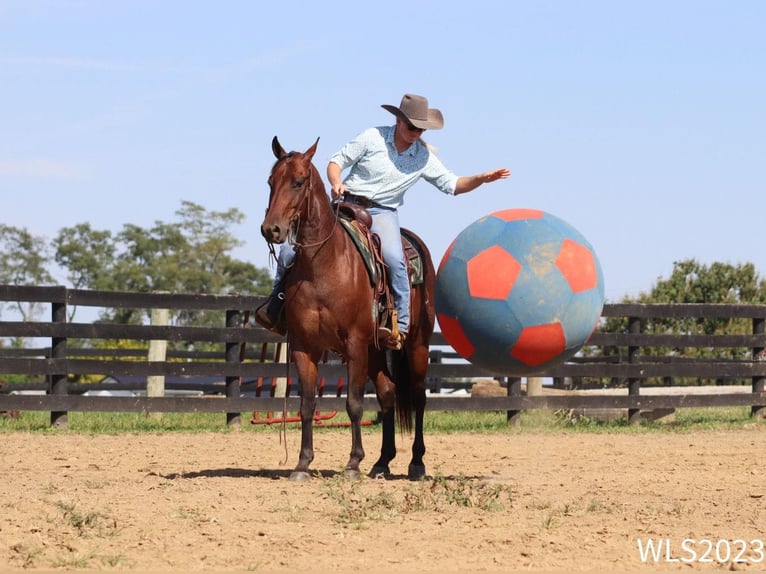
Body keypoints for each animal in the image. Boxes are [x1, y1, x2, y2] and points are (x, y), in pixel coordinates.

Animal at [260, 136, 436, 482]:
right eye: (270, 182)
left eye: (298, 182)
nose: (271, 229)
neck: (323, 265)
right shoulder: (304, 346)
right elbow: (307, 404)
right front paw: (302, 464)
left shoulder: (354, 343)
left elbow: (354, 404)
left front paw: (353, 464)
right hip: (376, 349)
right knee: (387, 393)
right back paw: (382, 462)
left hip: (417, 344)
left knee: (419, 396)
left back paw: (416, 463)